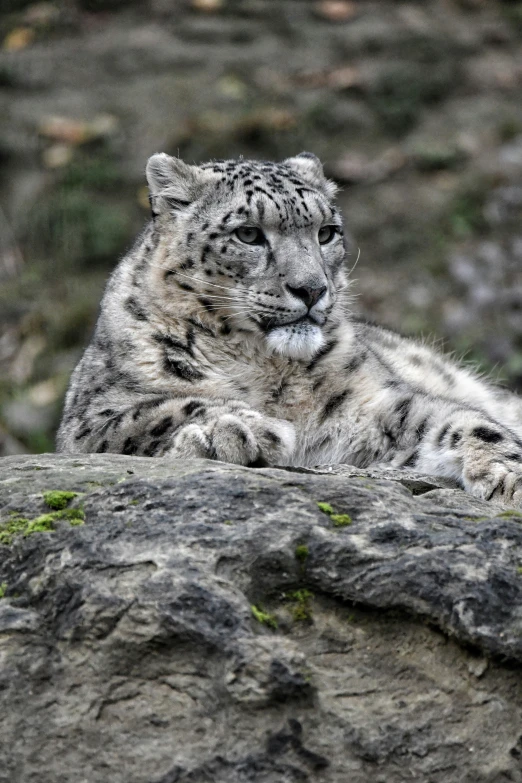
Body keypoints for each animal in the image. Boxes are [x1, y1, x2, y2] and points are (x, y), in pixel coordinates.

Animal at [57, 153, 520, 508]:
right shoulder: (89, 419)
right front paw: (236, 428)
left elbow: (465, 421)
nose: (312, 288)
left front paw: (511, 477)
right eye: (247, 233)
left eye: (326, 232)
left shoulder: (382, 405)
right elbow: (150, 413)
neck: (266, 367)